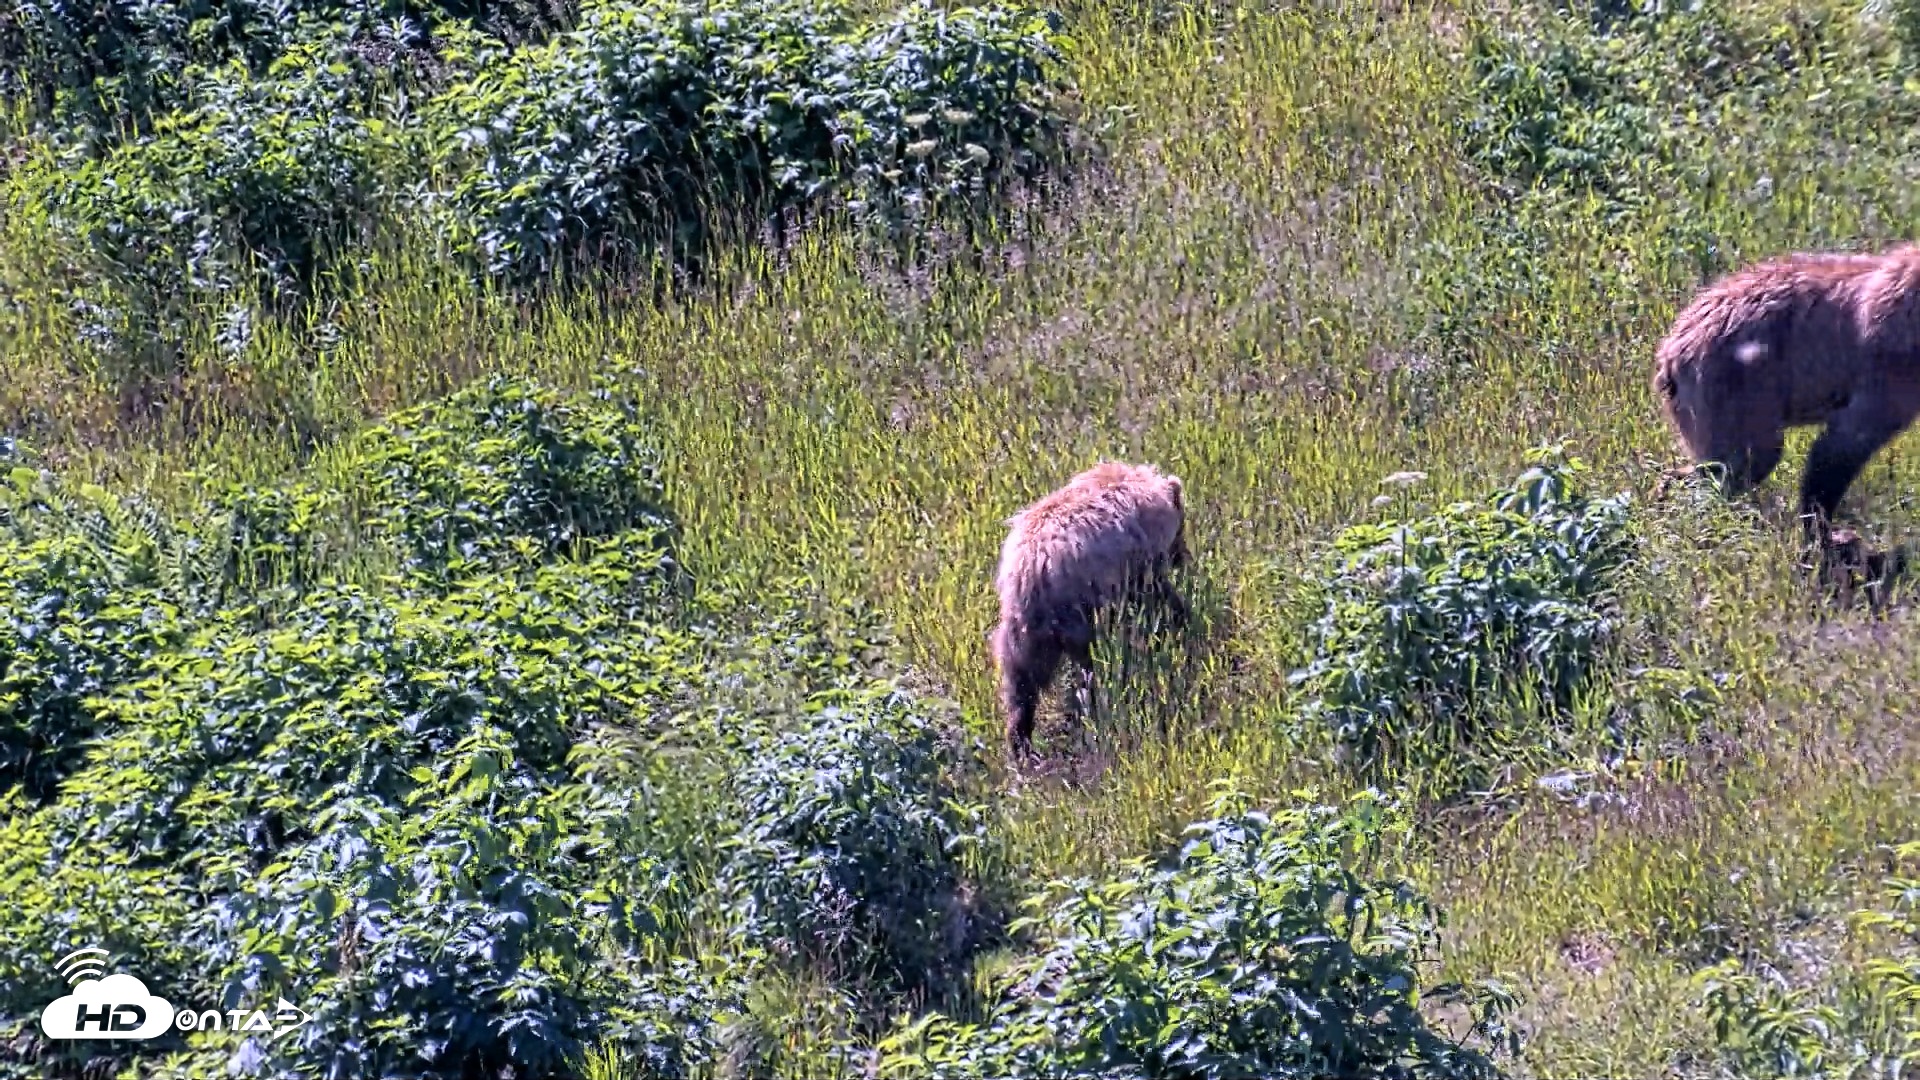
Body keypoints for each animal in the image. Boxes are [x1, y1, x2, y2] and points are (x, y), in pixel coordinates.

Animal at [988, 461, 1191, 756]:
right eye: (1183, 527)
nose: (1183, 556)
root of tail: (1033, 572)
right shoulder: (1137, 560)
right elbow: (1154, 593)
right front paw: (1179, 616)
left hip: (1020, 630)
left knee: (1020, 681)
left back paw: (1021, 741)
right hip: (1078, 610)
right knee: (1089, 663)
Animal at [1652, 242, 1920, 541]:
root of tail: (1669, 350)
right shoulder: (1891, 367)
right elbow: (1839, 448)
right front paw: (1821, 533)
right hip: (1733, 390)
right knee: (1741, 462)